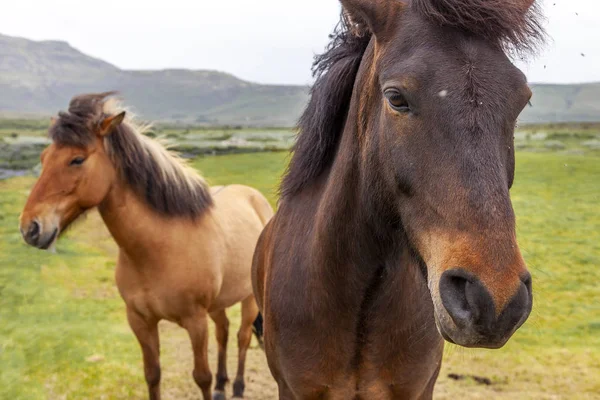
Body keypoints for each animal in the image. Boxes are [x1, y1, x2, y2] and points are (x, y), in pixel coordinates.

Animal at [18, 93, 272, 400]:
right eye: (43, 158)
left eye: (76, 159)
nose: (30, 228)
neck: (158, 249)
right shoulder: (140, 321)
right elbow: (152, 374)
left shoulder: (195, 321)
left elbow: (202, 376)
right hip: (218, 303)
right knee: (223, 332)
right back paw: (223, 387)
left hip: (248, 299)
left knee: (242, 337)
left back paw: (237, 386)